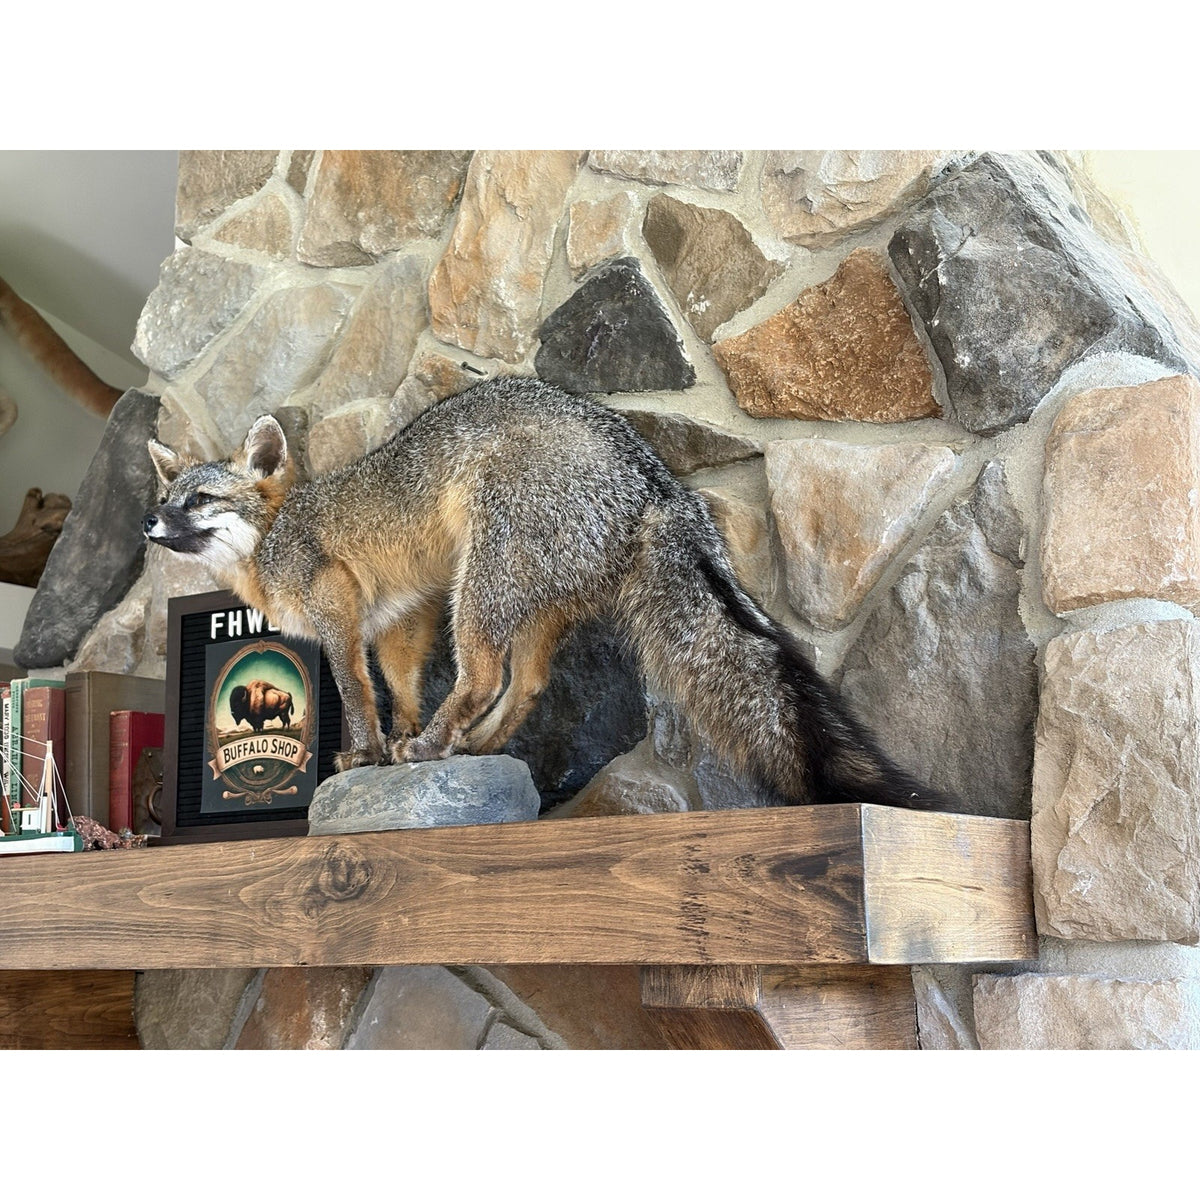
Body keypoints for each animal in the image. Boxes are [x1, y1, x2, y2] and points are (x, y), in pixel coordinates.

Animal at [143, 375, 953, 810]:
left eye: (200, 500)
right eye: (165, 496)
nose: (149, 521)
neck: (273, 539)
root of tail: (653, 480)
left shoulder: (340, 603)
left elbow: (355, 690)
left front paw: (370, 751)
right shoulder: (403, 619)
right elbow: (399, 686)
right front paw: (403, 737)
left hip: (481, 583)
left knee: (484, 676)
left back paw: (443, 743)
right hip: (523, 603)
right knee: (525, 682)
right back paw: (468, 745)